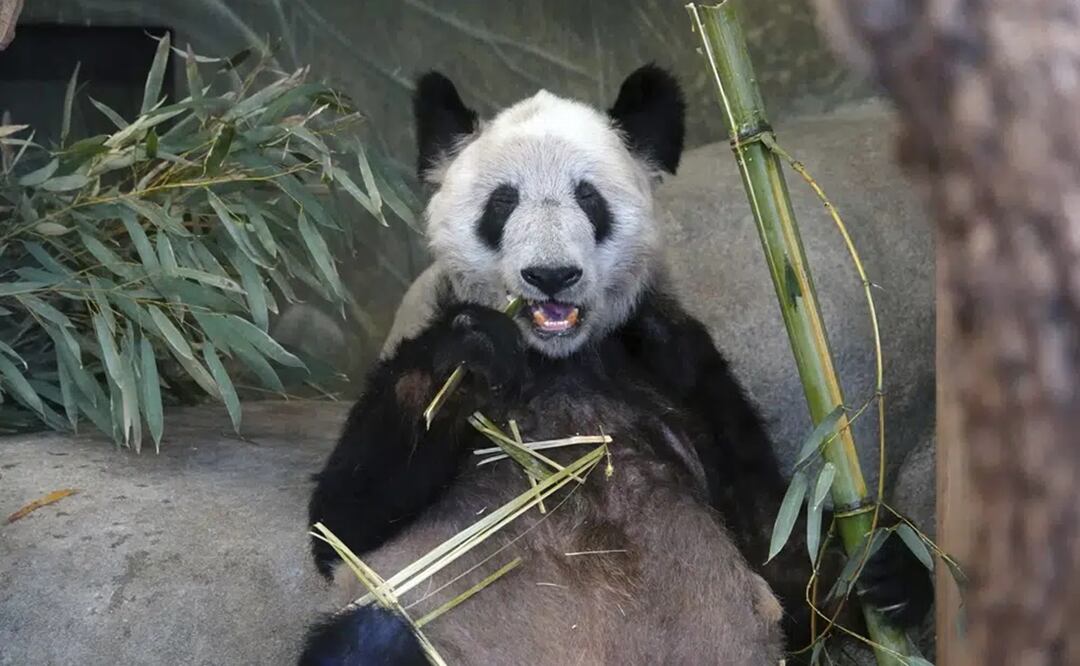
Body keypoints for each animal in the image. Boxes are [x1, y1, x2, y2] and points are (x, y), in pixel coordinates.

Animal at [298, 65, 932, 665]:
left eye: (588, 198)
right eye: (502, 202)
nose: (551, 275)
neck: (556, 360)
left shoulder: (679, 369)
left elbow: (783, 557)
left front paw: (890, 566)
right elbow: (343, 520)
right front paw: (468, 358)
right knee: (371, 639)